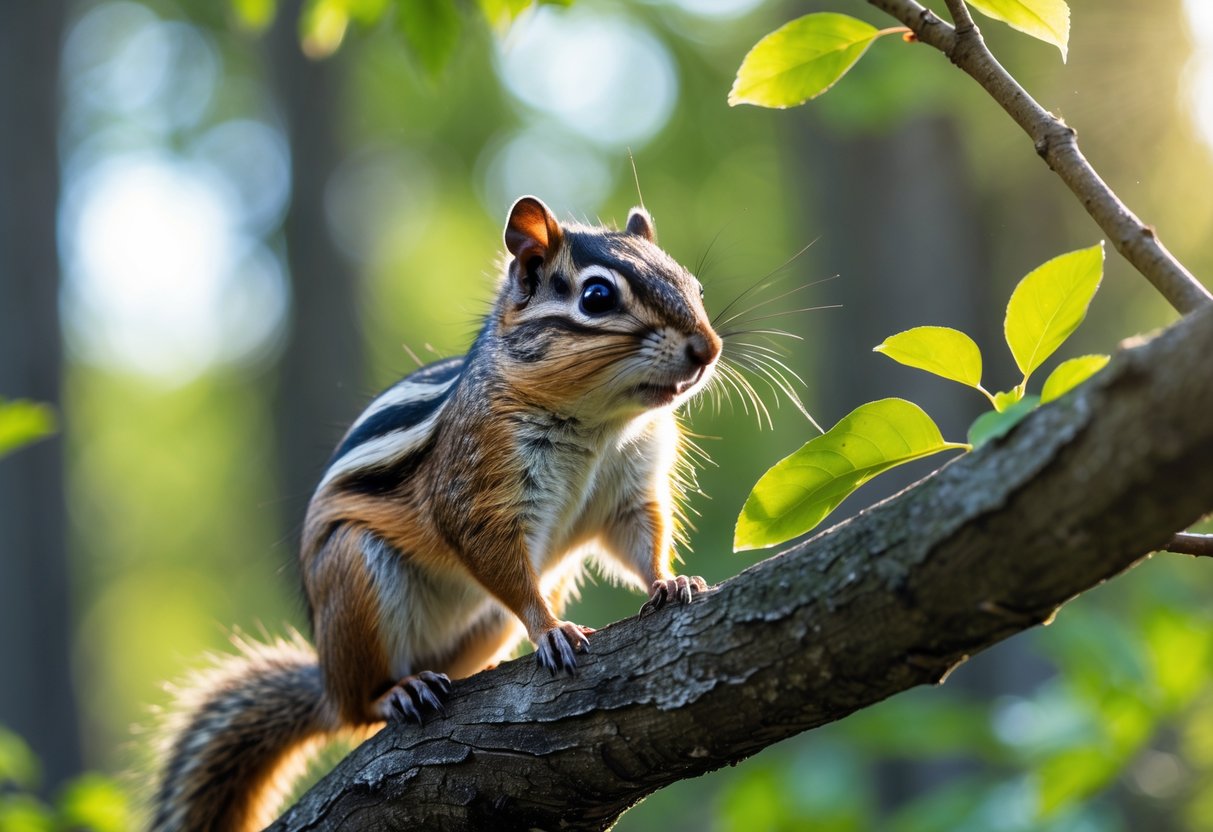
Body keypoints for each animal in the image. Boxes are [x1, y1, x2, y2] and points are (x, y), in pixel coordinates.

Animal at [150, 196, 721, 831]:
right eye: (597, 297)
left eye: (693, 284)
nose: (708, 349)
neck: (601, 424)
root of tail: (326, 679)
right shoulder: (475, 486)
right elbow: (492, 554)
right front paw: (551, 630)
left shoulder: (630, 489)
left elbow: (639, 541)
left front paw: (671, 582)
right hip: (355, 577)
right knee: (356, 710)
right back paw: (396, 692)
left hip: (482, 624)